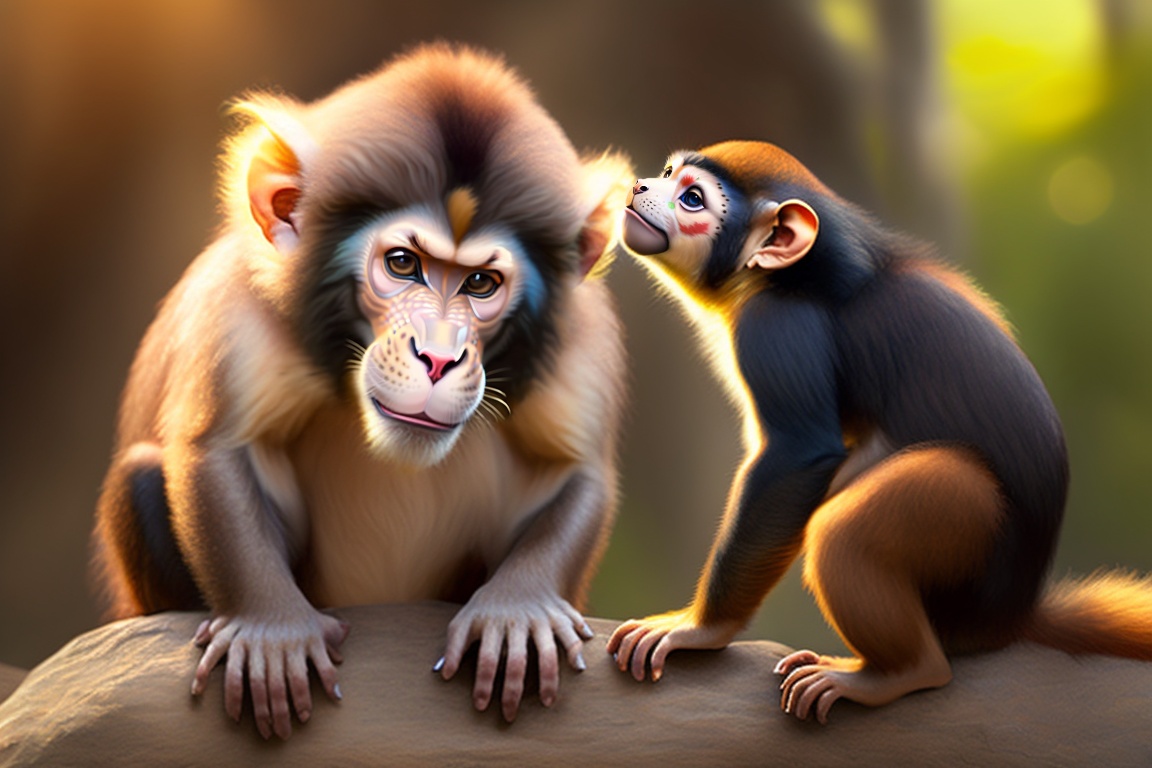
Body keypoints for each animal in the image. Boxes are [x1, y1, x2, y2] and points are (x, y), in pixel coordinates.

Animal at [93, 44, 633, 739]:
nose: (438, 356)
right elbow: (219, 447)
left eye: (481, 283)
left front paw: (519, 608)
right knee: (140, 475)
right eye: (403, 264)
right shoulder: (239, 306)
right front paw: (272, 630)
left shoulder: (581, 337)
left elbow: (575, 468)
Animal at [606, 140, 1152, 724]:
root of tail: (1010, 617)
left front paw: (702, 629)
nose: (640, 186)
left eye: (691, 199)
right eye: (668, 173)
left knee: (852, 530)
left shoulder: (780, 324)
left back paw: (899, 672)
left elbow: (799, 456)